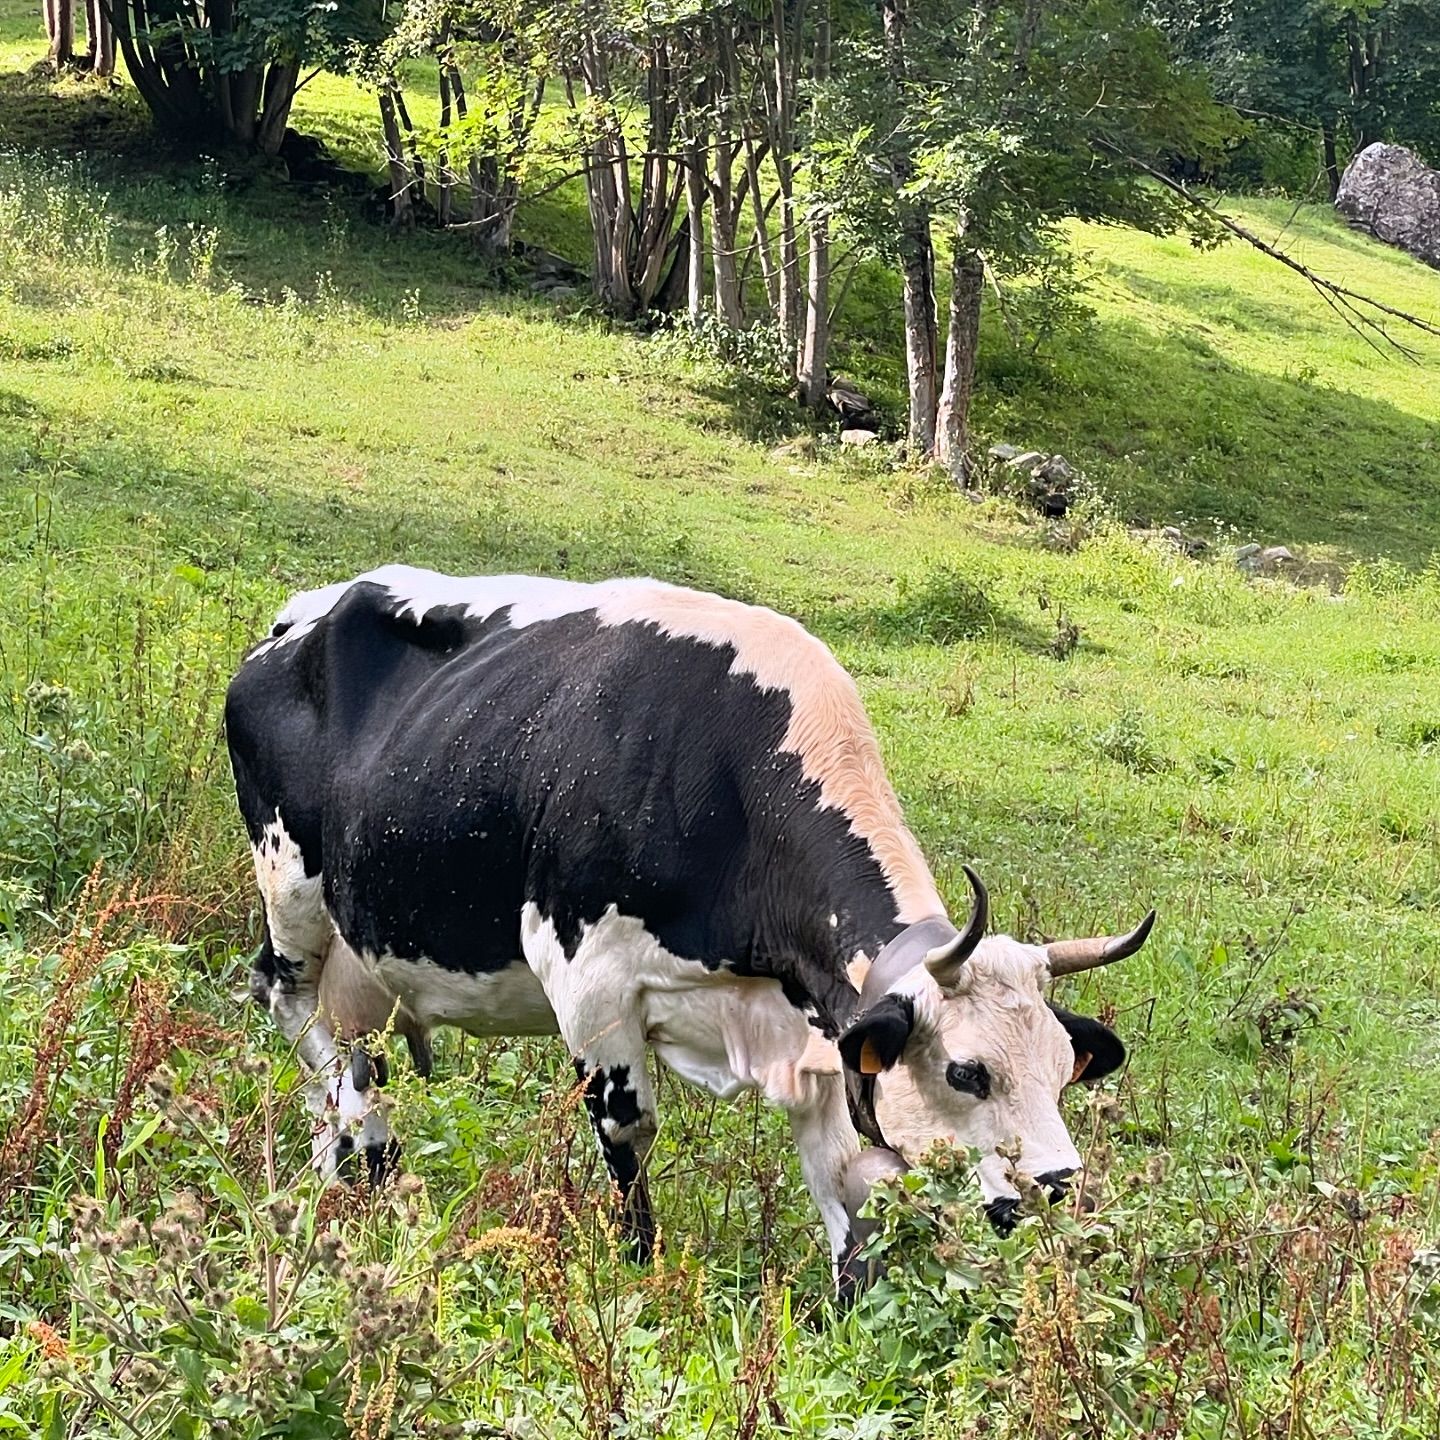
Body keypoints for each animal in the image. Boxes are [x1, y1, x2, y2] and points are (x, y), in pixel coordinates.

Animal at [227, 564, 1157, 1296]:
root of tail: (301, 615)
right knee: (288, 1003)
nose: (1059, 1186)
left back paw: (354, 1164)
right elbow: (627, 1135)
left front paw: (851, 1313)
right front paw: (638, 1271)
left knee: (359, 1044)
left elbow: (847, 1183)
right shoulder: (590, 983)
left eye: (1063, 1070)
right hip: (291, 891)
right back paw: (354, 1150)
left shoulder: (818, 1029)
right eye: (968, 1072)